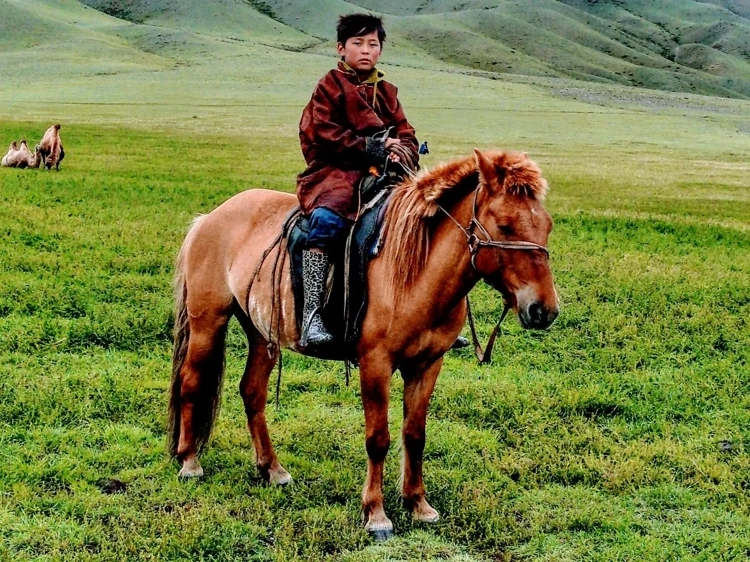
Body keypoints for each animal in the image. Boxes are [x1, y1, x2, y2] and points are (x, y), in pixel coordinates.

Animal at [167, 149, 559, 540]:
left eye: (547, 226)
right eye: (505, 225)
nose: (544, 310)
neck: (415, 270)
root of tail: (209, 218)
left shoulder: (428, 364)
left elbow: (414, 434)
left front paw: (418, 504)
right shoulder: (376, 363)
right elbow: (378, 438)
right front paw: (376, 514)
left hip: (262, 333)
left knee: (252, 392)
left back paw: (272, 469)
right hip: (208, 321)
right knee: (191, 382)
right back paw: (189, 461)